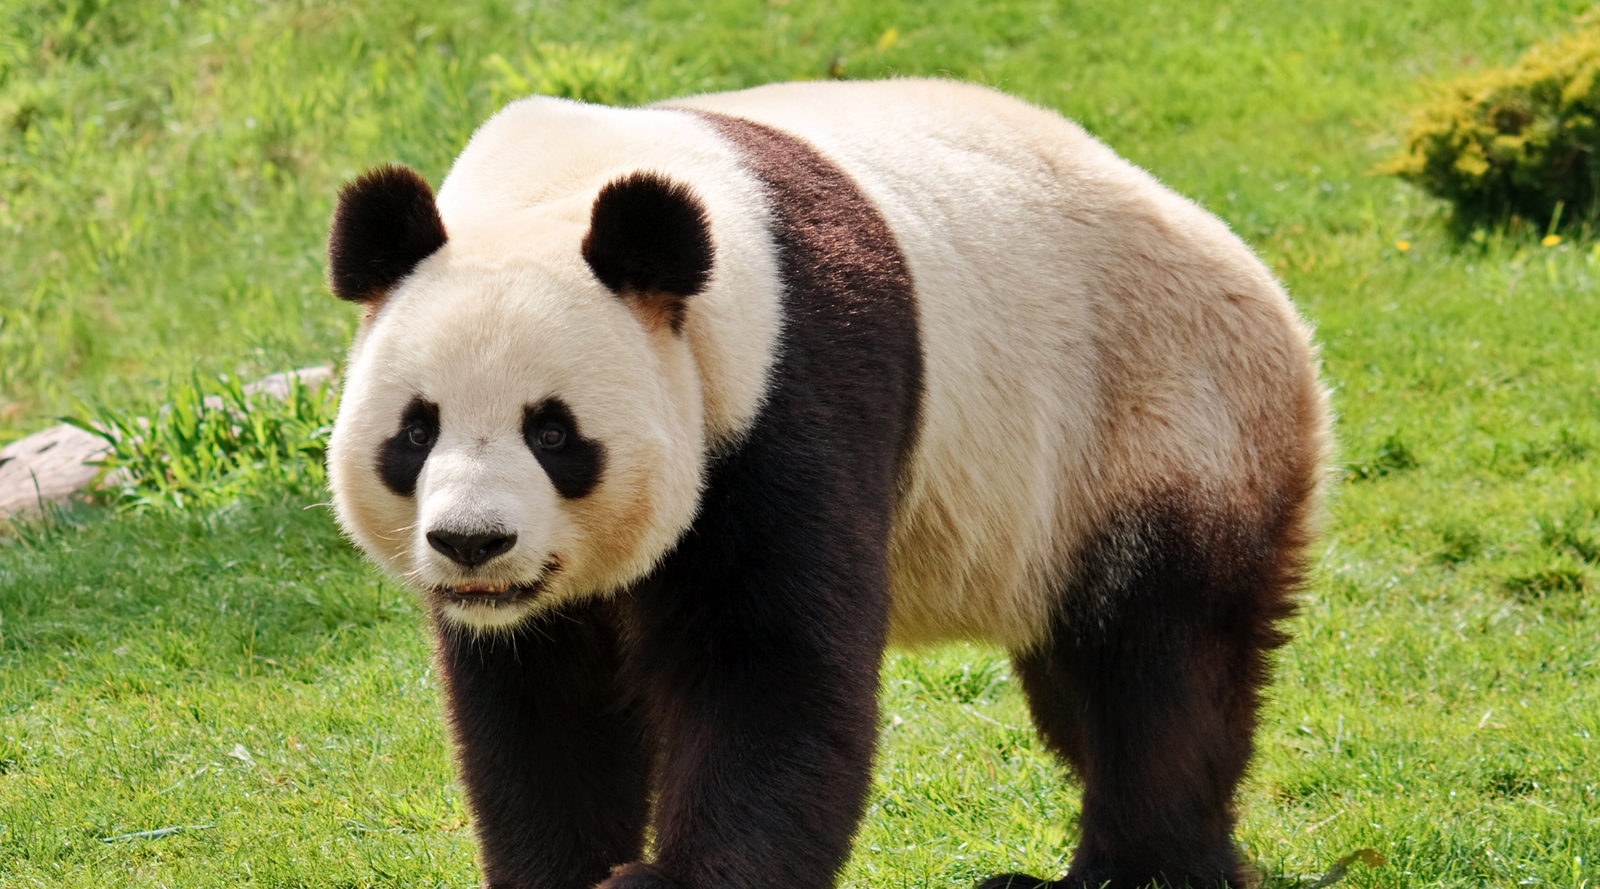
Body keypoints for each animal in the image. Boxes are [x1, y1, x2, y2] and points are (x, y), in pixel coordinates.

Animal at [325, 78, 1330, 889]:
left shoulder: (786, 388)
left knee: (1157, 666)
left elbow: (772, 670)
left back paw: (1143, 867)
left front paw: (665, 879)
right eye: (416, 431)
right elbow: (547, 706)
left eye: (554, 432)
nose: (472, 544)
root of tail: (1276, 302)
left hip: (1154, 418)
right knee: (1079, 683)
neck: (561, 187)